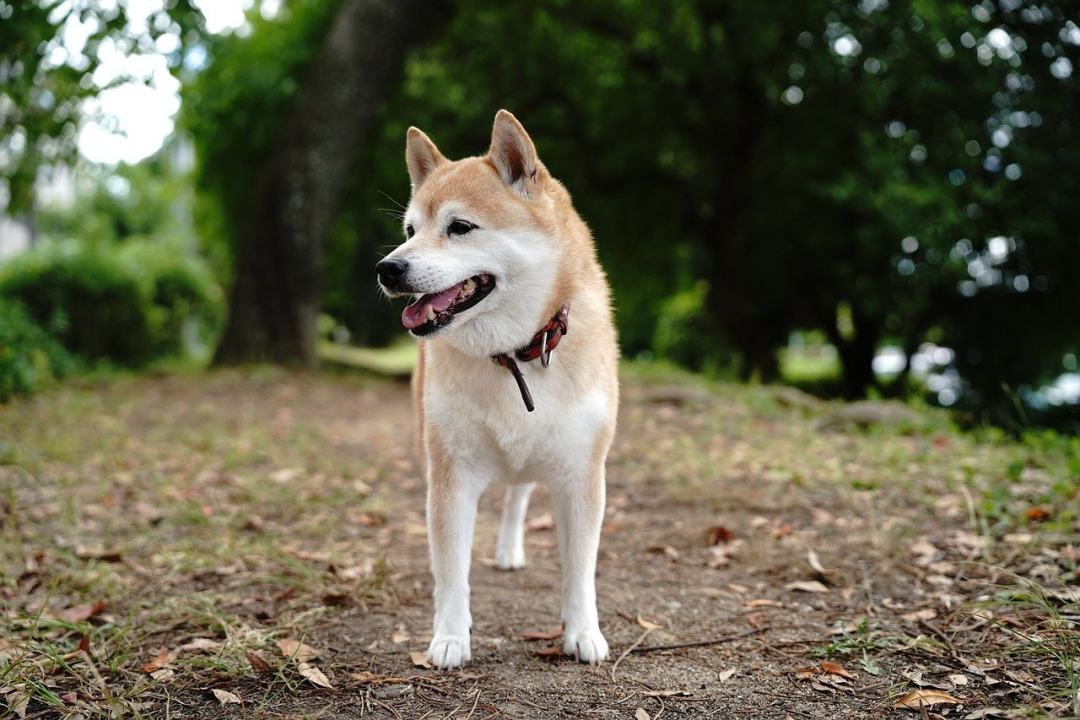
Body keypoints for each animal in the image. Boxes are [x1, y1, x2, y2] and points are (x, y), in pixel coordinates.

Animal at [375, 110, 622, 669]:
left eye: (460, 227)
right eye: (410, 230)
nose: (388, 268)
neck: (513, 355)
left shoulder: (582, 474)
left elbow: (580, 571)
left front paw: (583, 632)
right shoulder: (450, 475)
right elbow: (451, 571)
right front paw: (449, 637)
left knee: (518, 494)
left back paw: (510, 550)